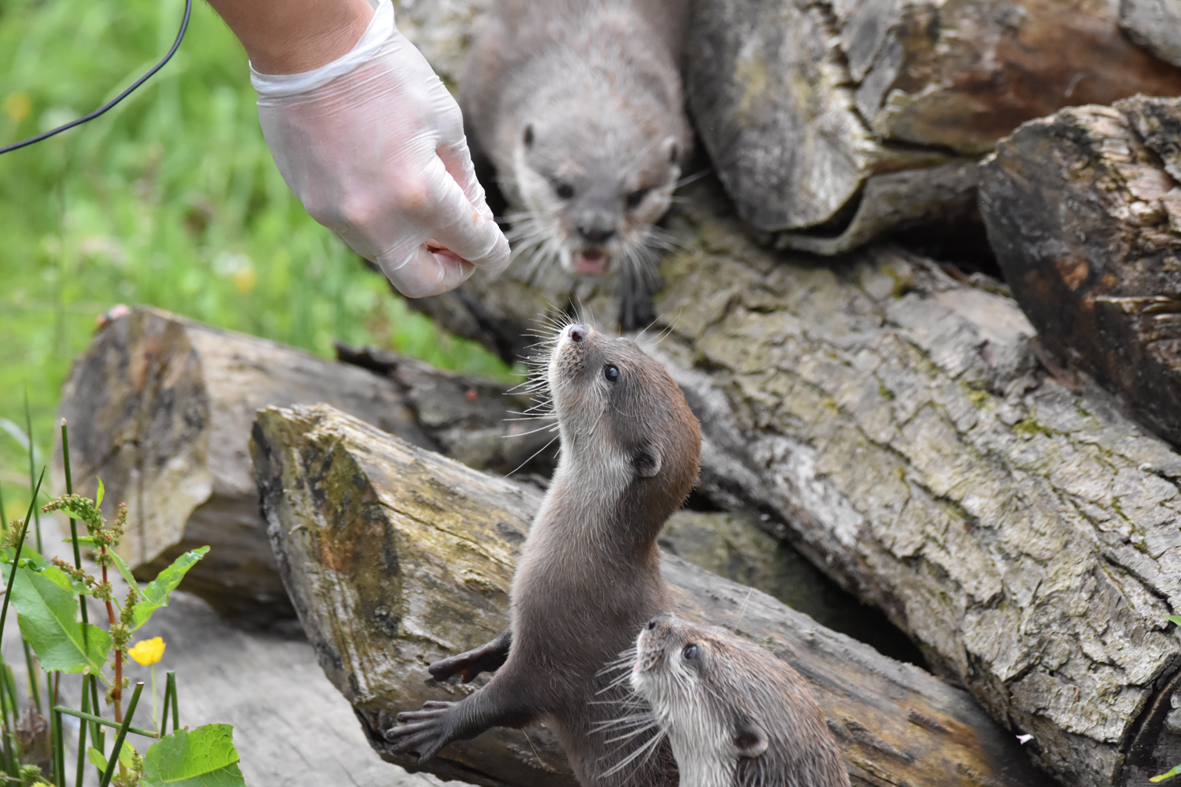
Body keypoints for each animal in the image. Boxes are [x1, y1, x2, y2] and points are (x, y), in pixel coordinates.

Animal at [385, 321, 699, 784]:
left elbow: (508, 702)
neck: (585, 561)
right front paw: (470, 659)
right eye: (627, 342)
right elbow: (509, 635)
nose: (578, 330)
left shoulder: (562, 654)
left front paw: (439, 723)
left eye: (611, 373)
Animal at [455, 0, 689, 328]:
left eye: (636, 195)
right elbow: (473, 156)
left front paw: (635, 281)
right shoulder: (481, 82)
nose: (595, 230)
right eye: (562, 186)